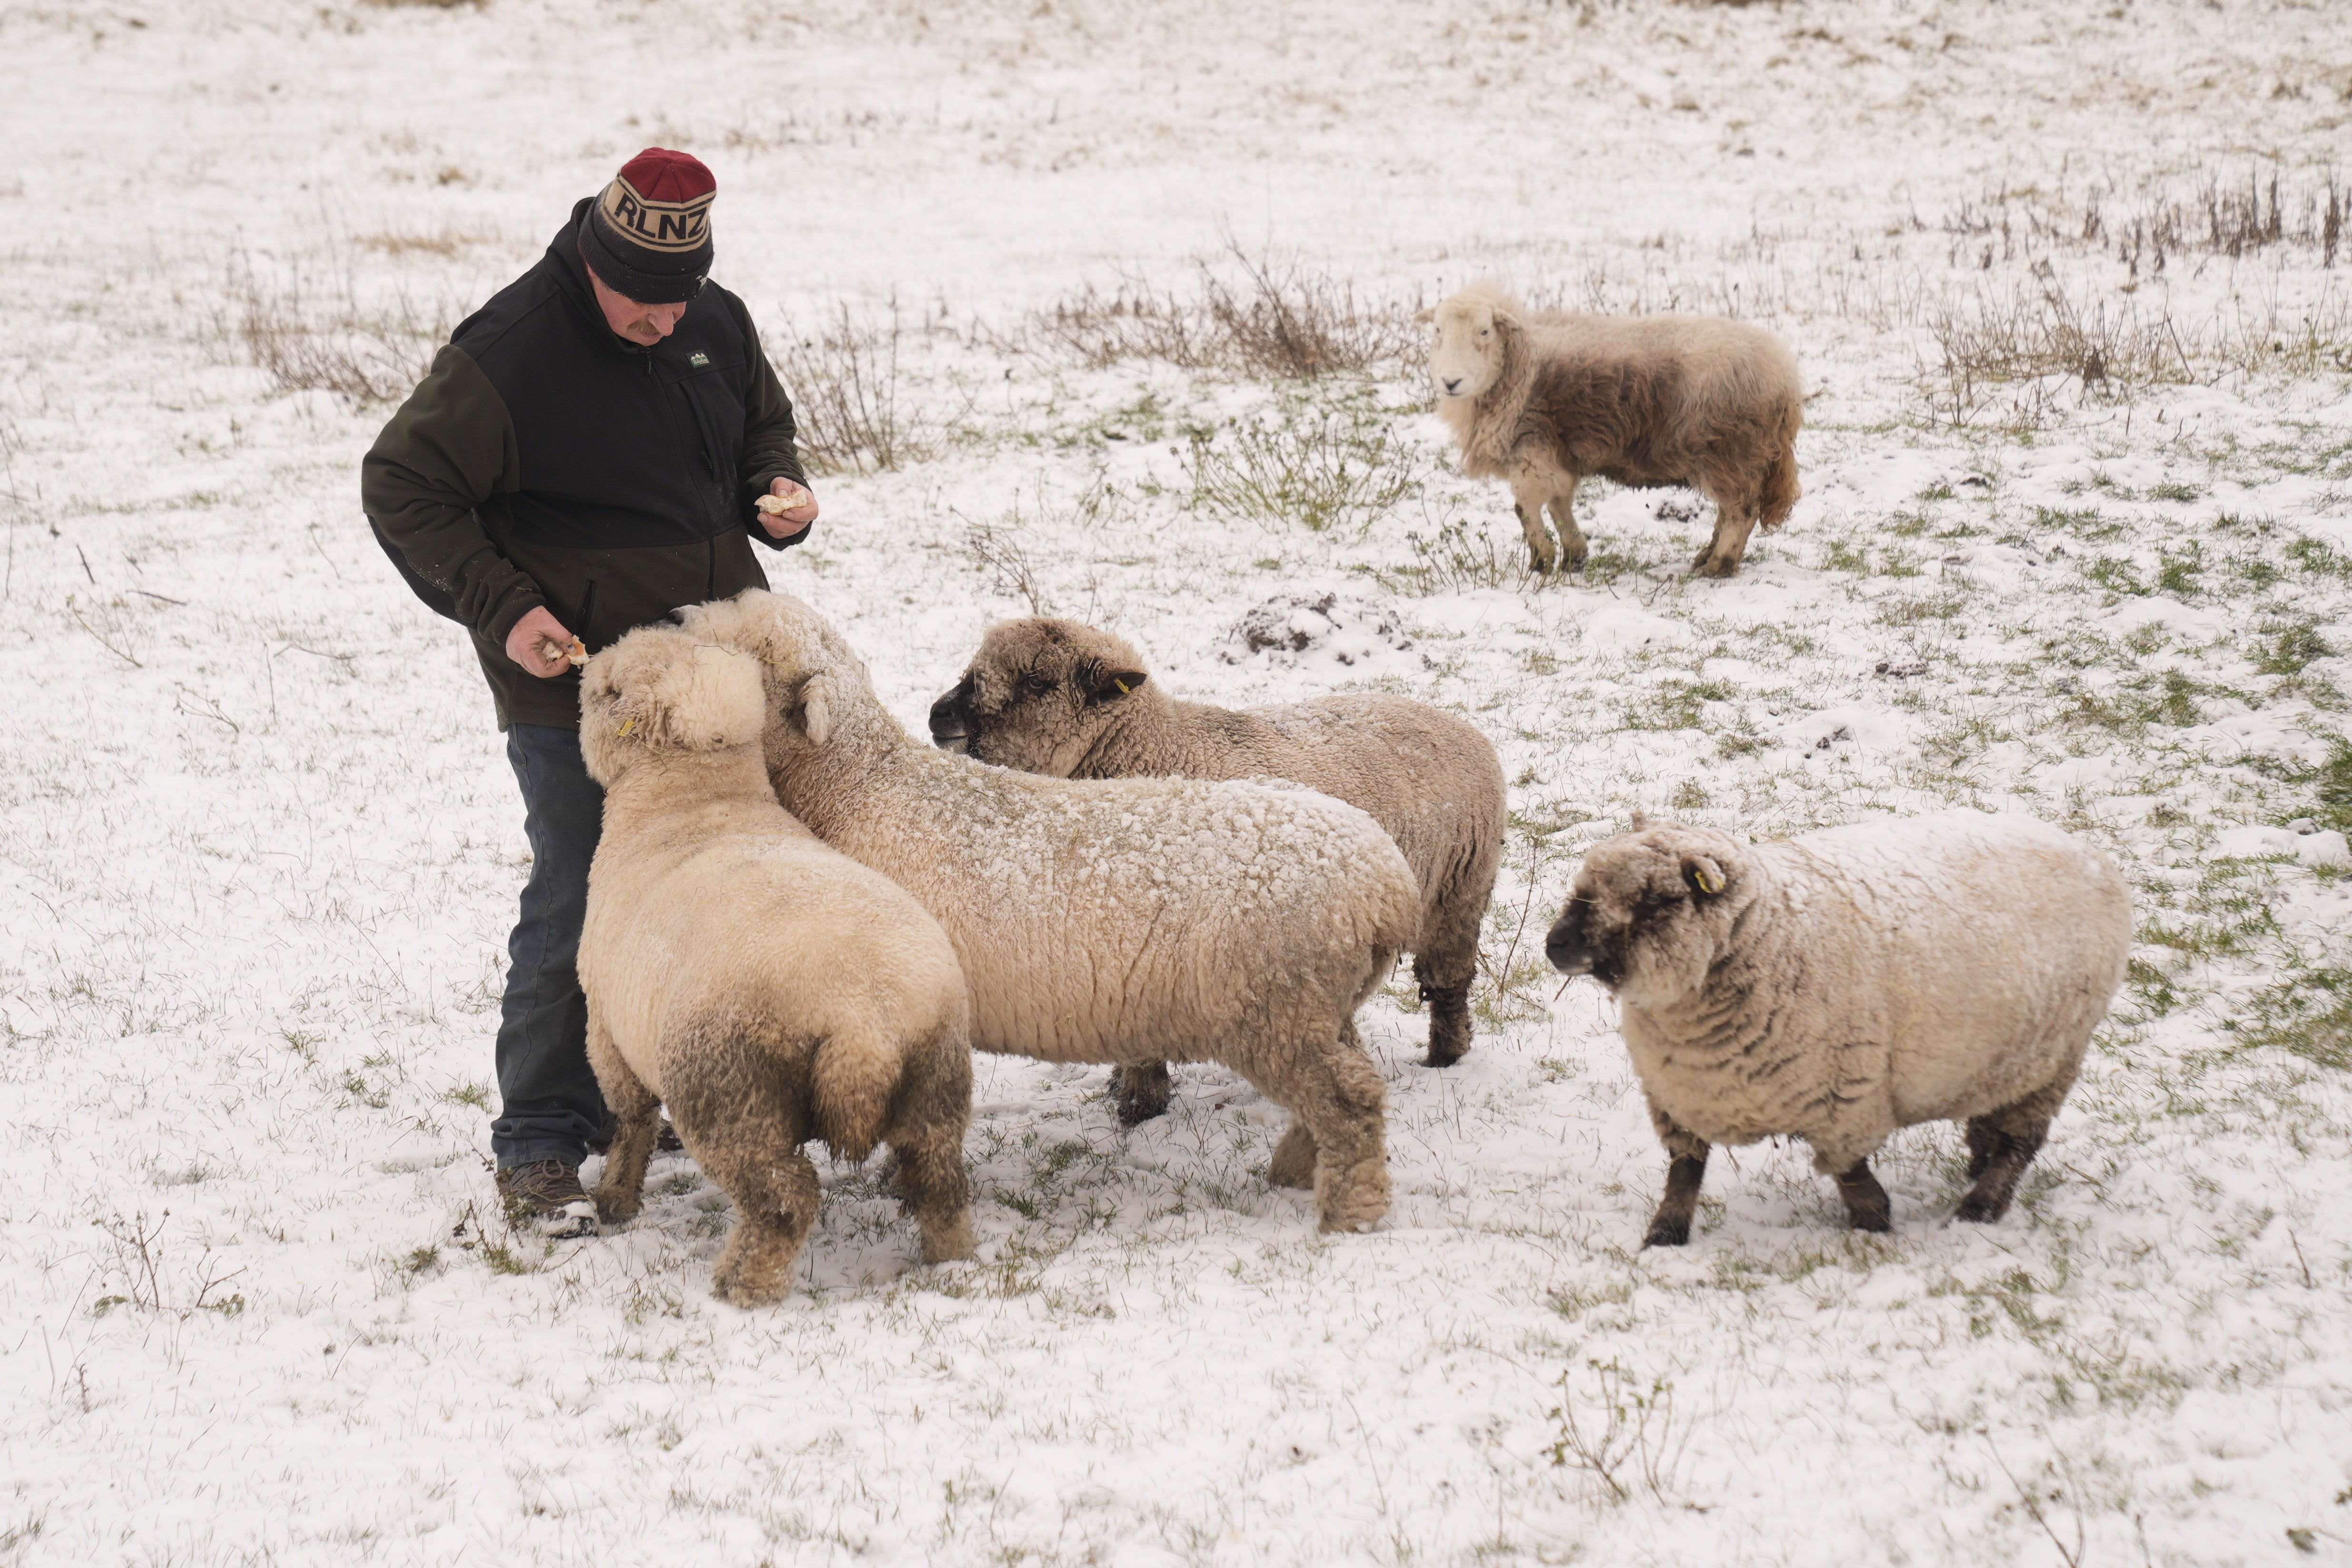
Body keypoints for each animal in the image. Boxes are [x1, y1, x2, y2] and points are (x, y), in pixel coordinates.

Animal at [576, 625, 975, 1305]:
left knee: (784, 1198)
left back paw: (742, 1285)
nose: (581, 665)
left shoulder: (607, 1033)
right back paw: (948, 1262)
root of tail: (862, 1023)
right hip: (937, 1074)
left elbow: (633, 1124)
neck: (691, 800)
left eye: (609, 687)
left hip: (733, 1094)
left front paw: (615, 1200)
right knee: (939, 1178)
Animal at [679, 588, 1423, 1234]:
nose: (677, 616)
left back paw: (1348, 1212)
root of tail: (1389, 881)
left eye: (748, 650)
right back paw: (1297, 1170)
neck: (853, 793)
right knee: (1354, 1081)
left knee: (1350, 1099)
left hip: (1277, 1009)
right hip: (1316, 1005)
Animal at [926, 614, 1505, 1123]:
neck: (1155, 748)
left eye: (1035, 679)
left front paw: (1139, 1106)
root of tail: (1461, 725)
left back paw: (1446, 1057)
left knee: (1449, 982)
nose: (938, 715)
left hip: (1459, 890)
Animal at [1420, 284, 1803, 578]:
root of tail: (1784, 375)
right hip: (1734, 455)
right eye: (1437, 331)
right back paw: (1706, 557)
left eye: (1485, 331)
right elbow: (1560, 504)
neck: (1521, 364)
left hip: (1729, 449)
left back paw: (1719, 565)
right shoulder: (1557, 453)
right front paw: (1574, 555)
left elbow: (1525, 508)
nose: (1451, 382)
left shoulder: (1533, 448)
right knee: (1729, 510)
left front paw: (1541, 562)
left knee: (1742, 511)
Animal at [1543, 812, 2130, 1245]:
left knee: (2023, 1142)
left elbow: (1851, 1174)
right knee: (1994, 1120)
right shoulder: (1679, 1098)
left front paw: (1874, 1224)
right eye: (1585, 883)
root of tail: (2090, 851)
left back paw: (1980, 1207)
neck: (1775, 934)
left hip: (2056, 1055)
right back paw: (1978, 1160)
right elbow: (1684, 1173)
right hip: (2002, 1058)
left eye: (1657, 900)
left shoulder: (1845, 1101)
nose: (1556, 944)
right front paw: (1664, 1235)